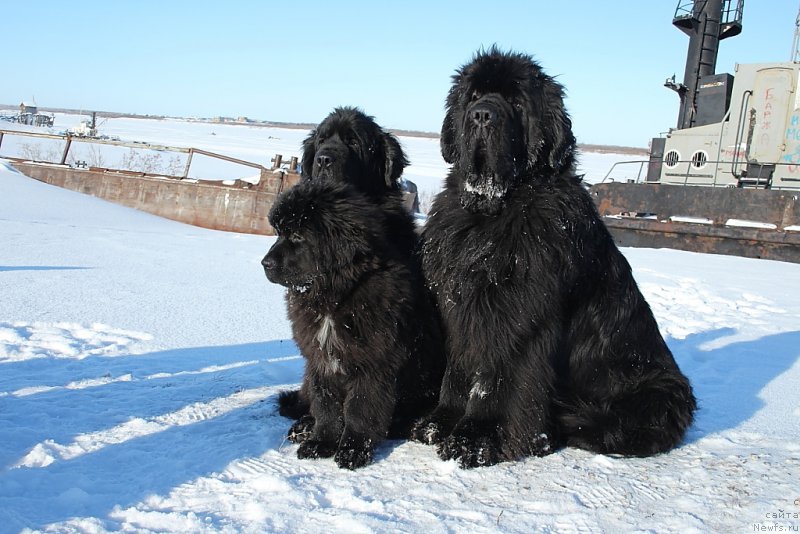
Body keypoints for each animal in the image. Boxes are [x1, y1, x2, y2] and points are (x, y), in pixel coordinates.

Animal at [262, 181, 444, 474]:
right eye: (279, 233)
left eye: (298, 236)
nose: (265, 263)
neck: (335, 299)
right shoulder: (320, 360)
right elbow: (326, 406)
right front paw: (321, 442)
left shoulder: (372, 364)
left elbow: (360, 409)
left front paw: (352, 450)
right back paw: (303, 426)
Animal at [410, 49, 696, 468]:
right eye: (473, 96)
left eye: (516, 102)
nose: (482, 115)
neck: (493, 213)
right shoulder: (459, 307)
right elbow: (459, 371)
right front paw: (438, 422)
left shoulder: (518, 315)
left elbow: (498, 379)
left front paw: (476, 438)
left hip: (655, 395)